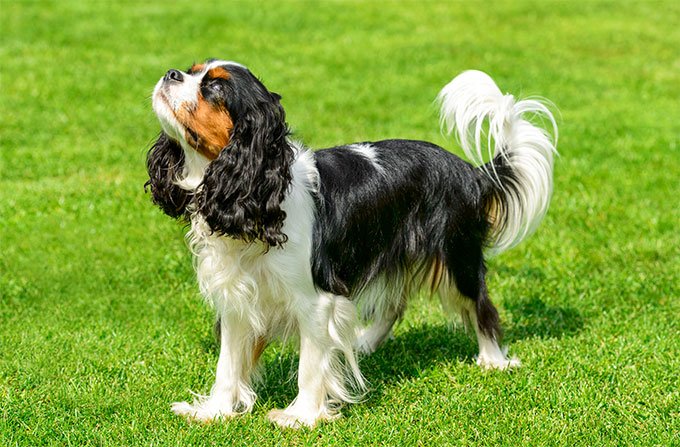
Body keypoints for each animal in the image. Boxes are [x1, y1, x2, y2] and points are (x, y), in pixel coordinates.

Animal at [146, 57, 556, 428]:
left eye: (214, 87)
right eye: (191, 70)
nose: (170, 73)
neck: (254, 191)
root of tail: (470, 172)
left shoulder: (315, 299)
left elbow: (310, 364)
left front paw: (300, 417)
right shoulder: (238, 297)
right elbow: (228, 364)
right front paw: (213, 411)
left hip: (457, 254)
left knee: (480, 304)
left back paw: (494, 360)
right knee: (395, 304)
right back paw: (363, 342)